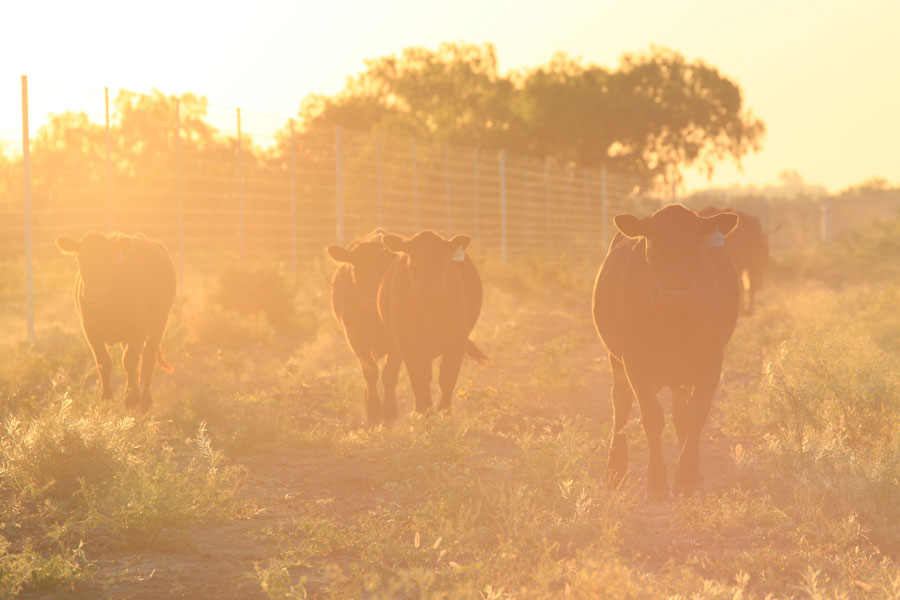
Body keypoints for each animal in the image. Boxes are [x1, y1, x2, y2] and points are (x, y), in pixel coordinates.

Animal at [57, 232, 177, 410]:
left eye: (107, 259)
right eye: (80, 259)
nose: (91, 292)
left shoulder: (138, 327)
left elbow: (129, 361)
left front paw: (131, 399)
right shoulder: (90, 329)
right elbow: (104, 361)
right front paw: (107, 397)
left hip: (159, 323)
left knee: (147, 360)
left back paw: (145, 400)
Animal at [326, 230, 402, 426]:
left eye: (386, 272)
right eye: (356, 271)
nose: (371, 304)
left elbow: (390, 374)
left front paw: (390, 412)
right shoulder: (356, 341)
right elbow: (371, 373)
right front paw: (372, 411)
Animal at [378, 232, 488, 414]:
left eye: (442, 259)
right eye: (412, 259)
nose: (429, 290)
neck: (429, 311)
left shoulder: (457, 340)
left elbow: (447, 378)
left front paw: (444, 413)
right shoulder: (406, 343)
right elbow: (418, 377)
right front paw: (423, 411)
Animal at [592, 204, 740, 500]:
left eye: (696, 243)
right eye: (654, 243)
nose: (677, 292)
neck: (672, 320)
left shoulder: (711, 361)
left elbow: (695, 414)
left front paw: (687, 477)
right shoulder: (635, 363)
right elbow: (652, 417)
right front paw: (657, 483)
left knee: (681, 413)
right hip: (615, 360)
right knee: (620, 404)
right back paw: (615, 471)